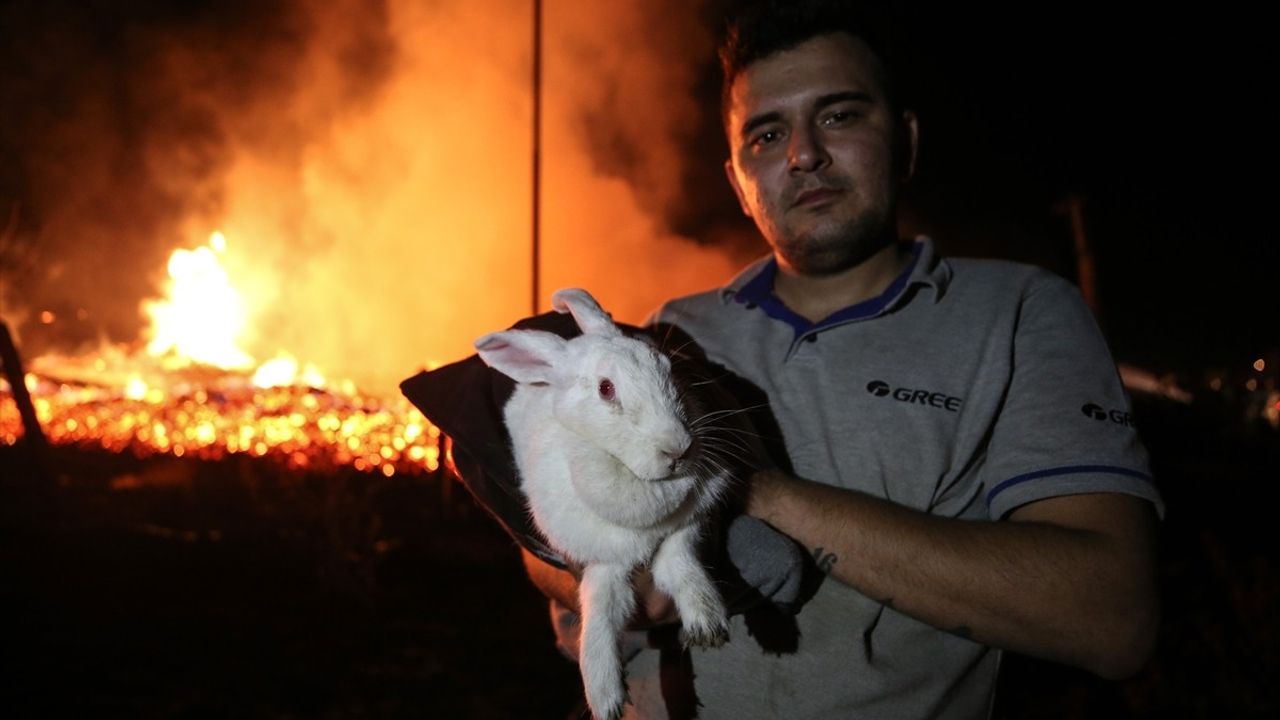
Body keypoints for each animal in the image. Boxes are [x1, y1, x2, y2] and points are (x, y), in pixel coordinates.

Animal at [476, 285, 732, 717]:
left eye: (669, 368)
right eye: (606, 389)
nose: (678, 449)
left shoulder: (687, 525)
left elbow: (680, 563)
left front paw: (707, 625)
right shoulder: (601, 561)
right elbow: (600, 614)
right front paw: (605, 698)